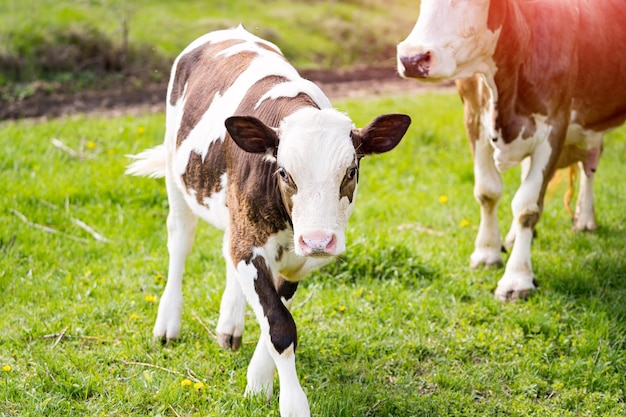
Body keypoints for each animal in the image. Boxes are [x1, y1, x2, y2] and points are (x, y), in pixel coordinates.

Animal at [126, 26, 410, 416]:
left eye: (351, 171)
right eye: (284, 172)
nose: (318, 240)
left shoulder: (295, 259)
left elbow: (276, 313)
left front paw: (258, 380)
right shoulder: (252, 246)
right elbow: (279, 327)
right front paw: (291, 403)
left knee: (225, 251)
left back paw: (229, 326)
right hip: (175, 168)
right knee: (180, 240)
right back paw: (168, 323)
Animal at [398, 0, 624, 300]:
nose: (411, 59)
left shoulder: (554, 126)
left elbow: (527, 206)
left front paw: (517, 278)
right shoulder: (474, 117)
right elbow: (487, 192)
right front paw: (487, 252)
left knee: (588, 165)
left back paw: (584, 220)